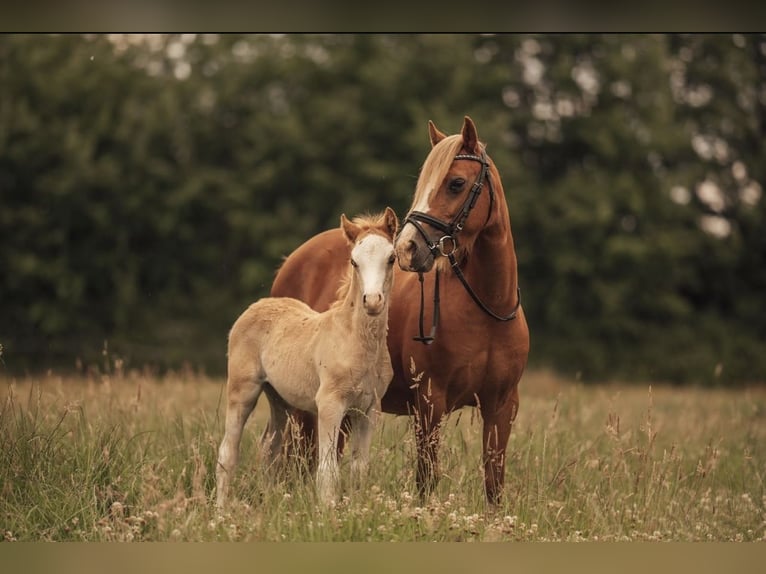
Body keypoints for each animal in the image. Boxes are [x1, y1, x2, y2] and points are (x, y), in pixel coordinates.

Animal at [214, 207, 396, 508]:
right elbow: (328, 469)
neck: (356, 341)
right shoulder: (330, 404)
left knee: (270, 449)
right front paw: (328, 511)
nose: (372, 301)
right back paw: (220, 510)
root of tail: (257, 305)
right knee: (228, 452)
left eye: (391, 258)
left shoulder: (369, 408)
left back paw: (270, 503)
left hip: (280, 399)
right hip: (243, 390)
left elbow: (360, 468)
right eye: (354, 261)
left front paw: (358, 510)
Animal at [270, 117, 528, 504]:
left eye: (456, 183)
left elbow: (493, 481)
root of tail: (293, 261)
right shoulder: (430, 403)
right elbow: (426, 478)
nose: (408, 247)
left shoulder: (502, 406)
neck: (487, 309)